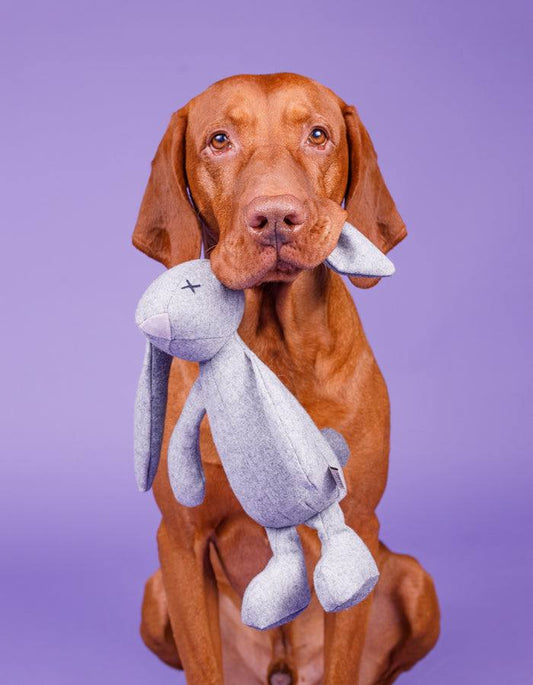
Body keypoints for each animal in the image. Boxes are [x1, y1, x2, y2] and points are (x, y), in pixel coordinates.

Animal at [131, 73, 438, 684]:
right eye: (219, 140)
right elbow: (202, 664)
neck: (273, 348)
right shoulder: (179, 541)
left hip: (416, 581)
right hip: (155, 596)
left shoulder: (357, 527)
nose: (275, 217)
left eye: (318, 134)